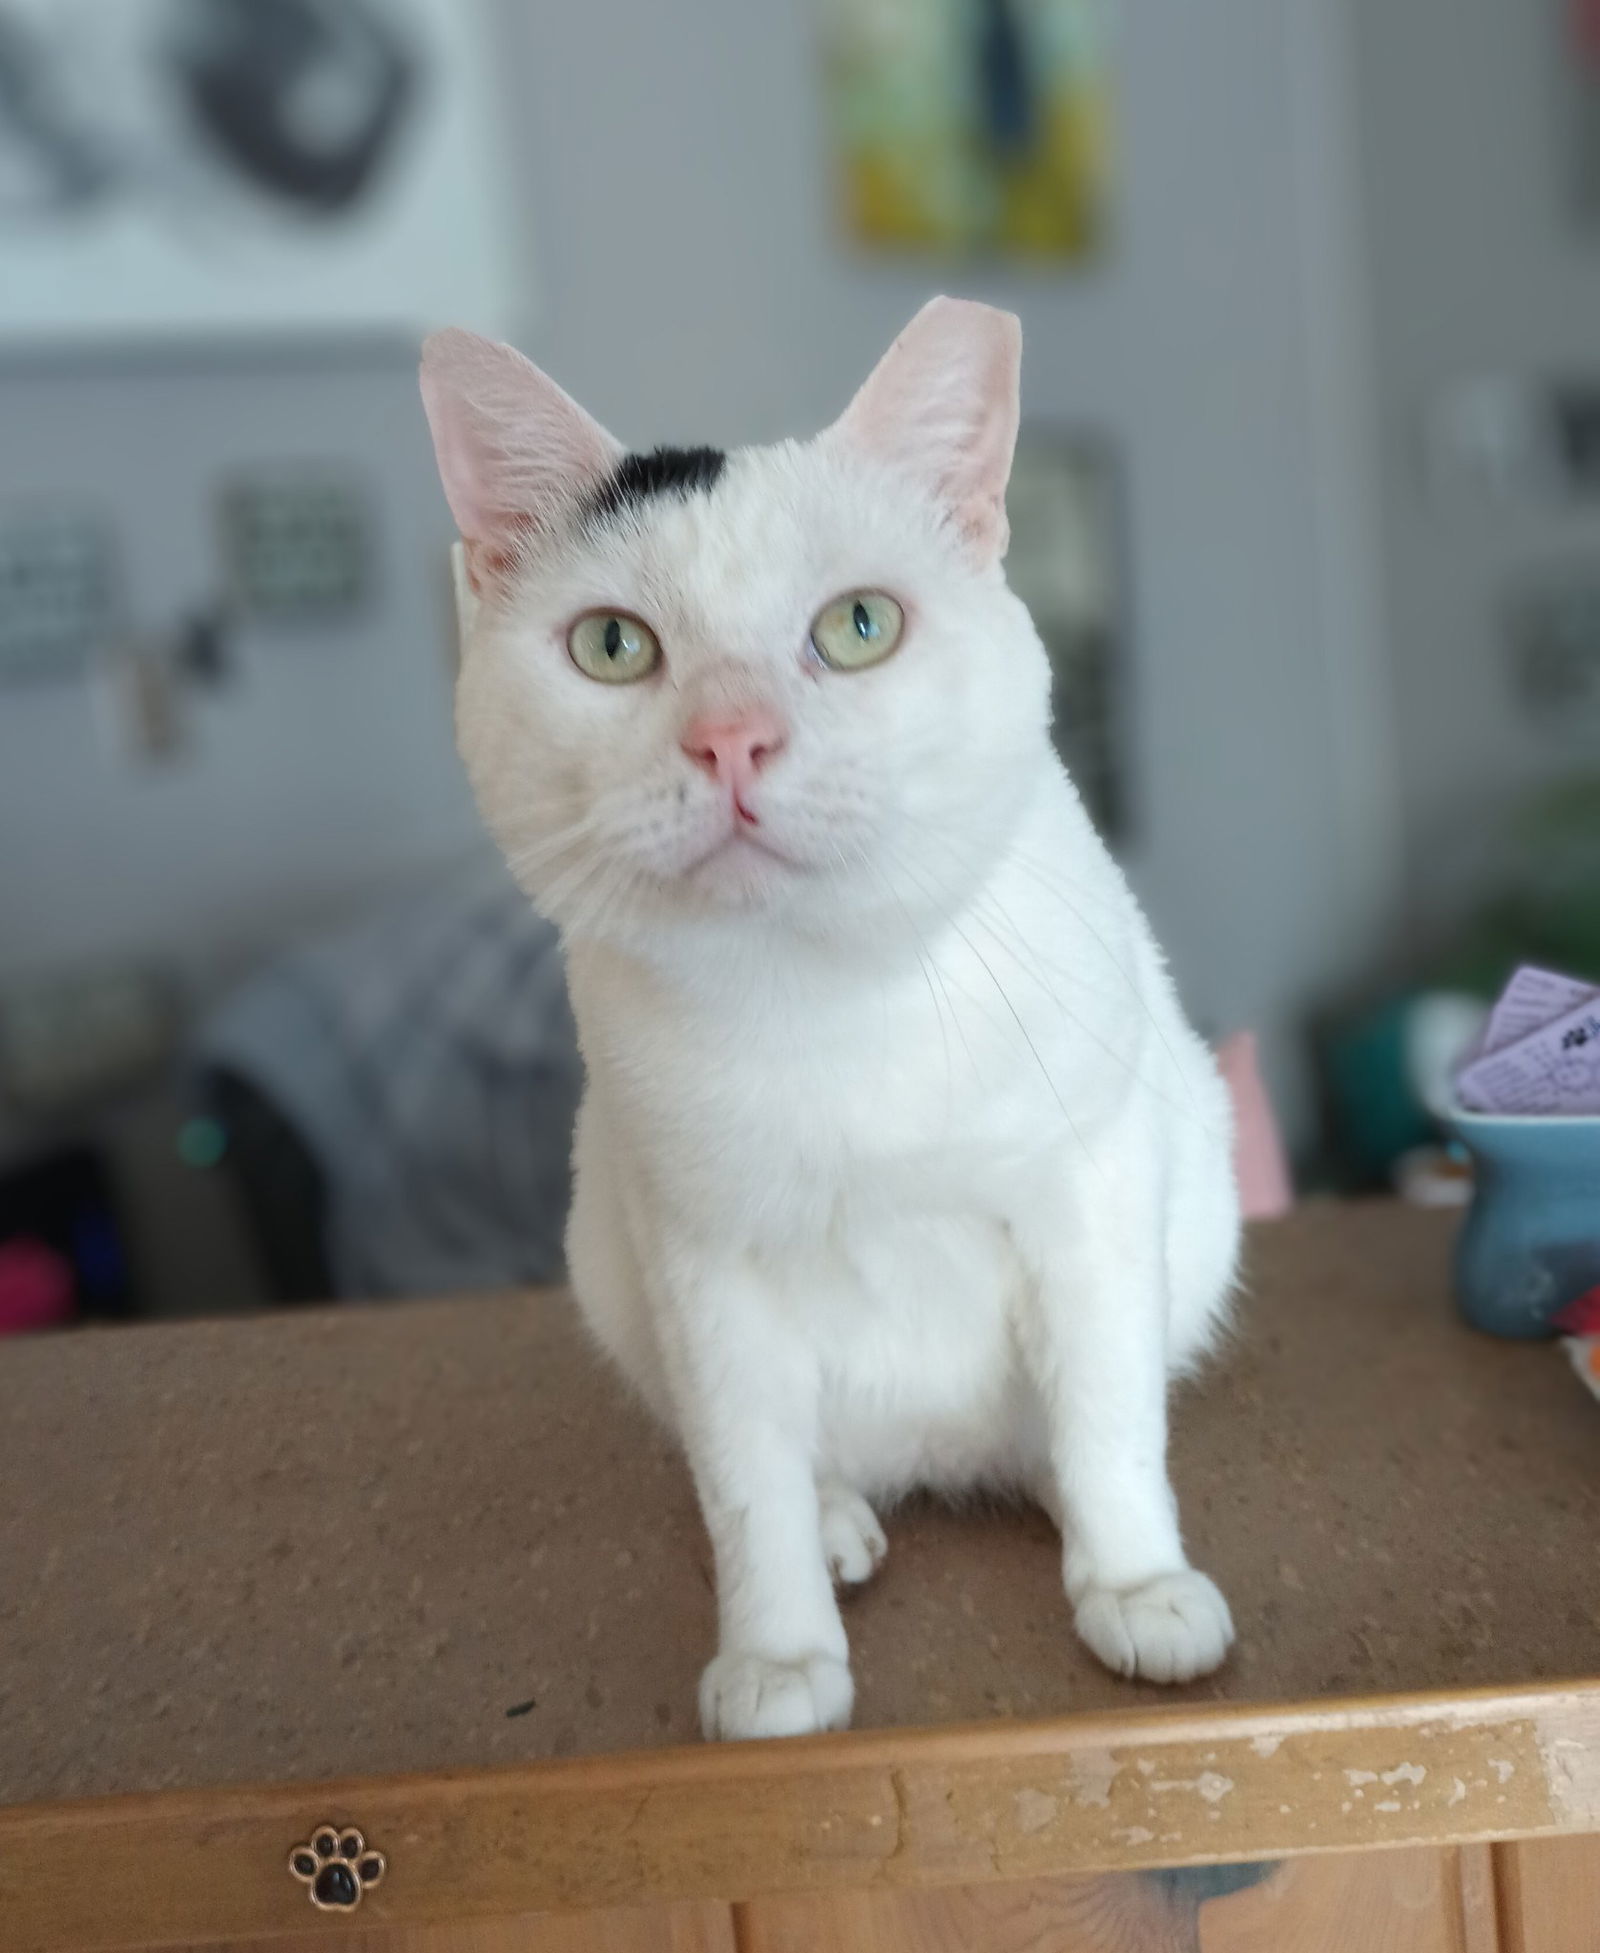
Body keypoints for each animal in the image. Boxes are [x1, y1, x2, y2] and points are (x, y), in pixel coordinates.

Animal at [416, 300, 1242, 1742]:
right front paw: (779, 1657)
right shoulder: (698, 1263)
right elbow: (745, 1482)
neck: (827, 994)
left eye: (859, 626)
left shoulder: (1086, 1191)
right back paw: (844, 1521)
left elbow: (1103, 1410)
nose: (732, 740)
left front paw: (1137, 1584)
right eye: (613, 647)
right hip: (609, 1263)